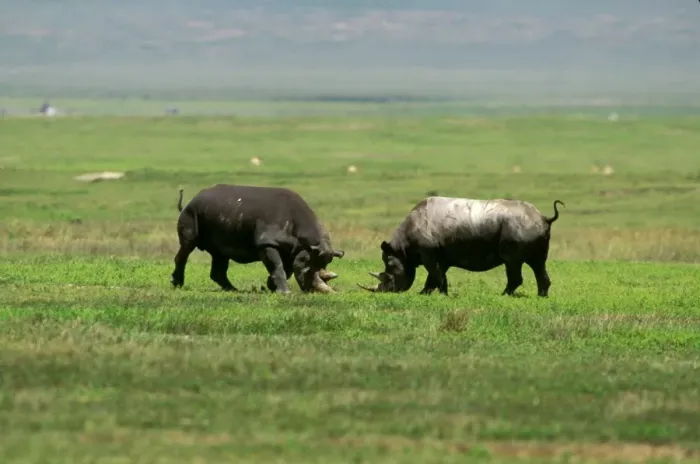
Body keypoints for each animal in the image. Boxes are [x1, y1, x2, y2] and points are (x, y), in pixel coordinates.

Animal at [171, 184, 344, 294]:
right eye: (307, 272)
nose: (314, 291)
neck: (305, 243)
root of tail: (192, 199)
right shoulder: (267, 243)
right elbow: (278, 267)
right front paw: (284, 293)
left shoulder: (292, 249)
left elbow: (284, 268)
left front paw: (271, 287)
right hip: (192, 212)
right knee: (187, 246)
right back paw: (177, 284)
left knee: (220, 254)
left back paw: (233, 290)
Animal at [359, 197, 565, 297]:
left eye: (389, 274)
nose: (385, 292)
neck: (402, 250)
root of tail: (544, 218)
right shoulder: (441, 256)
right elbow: (438, 276)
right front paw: (436, 294)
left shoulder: (428, 252)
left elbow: (434, 275)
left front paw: (426, 294)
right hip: (529, 229)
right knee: (538, 264)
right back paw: (542, 297)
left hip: (518, 230)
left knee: (513, 263)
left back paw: (504, 295)